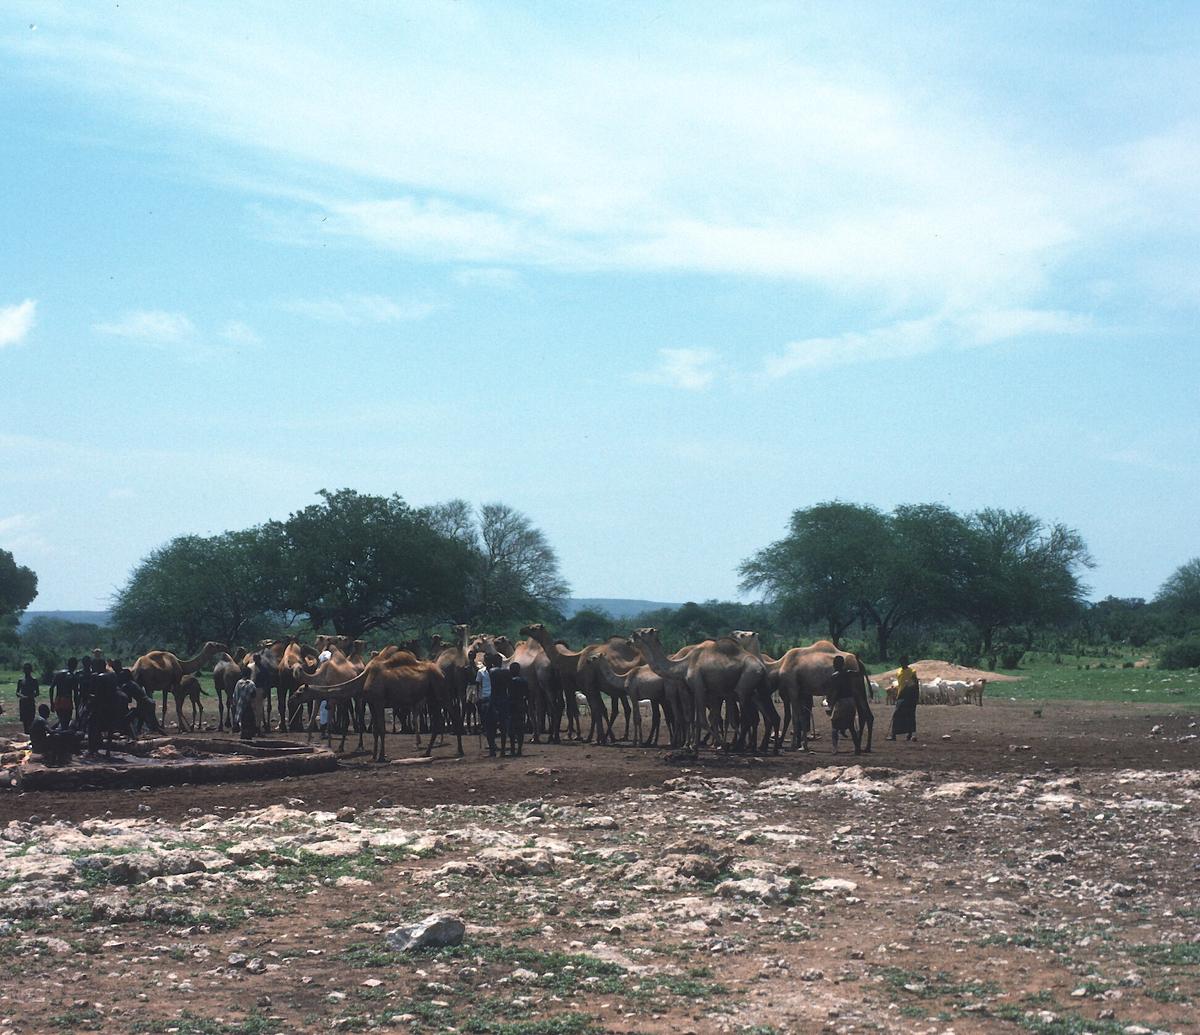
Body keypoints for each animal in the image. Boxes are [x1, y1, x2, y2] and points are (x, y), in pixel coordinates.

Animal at [288, 646, 463, 762]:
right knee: (438, 720)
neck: (364, 680)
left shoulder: (378, 701)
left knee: (454, 714)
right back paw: (427, 752)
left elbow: (382, 730)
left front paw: (381, 756)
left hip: (441, 693)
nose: (291, 700)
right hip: (432, 697)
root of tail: (441, 672)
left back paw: (459, 751)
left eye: (300, 691)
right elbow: (375, 731)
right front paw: (373, 755)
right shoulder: (371, 703)